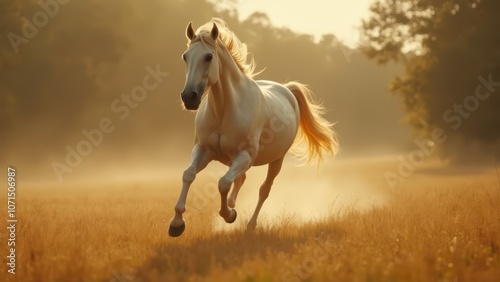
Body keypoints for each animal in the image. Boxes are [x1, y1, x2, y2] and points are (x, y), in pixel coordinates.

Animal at [169, 18, 340, 238]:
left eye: (208, 56)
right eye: (185, 56)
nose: (189, 97)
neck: (224, 110)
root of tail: (287, 89)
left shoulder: (245, 155)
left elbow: (223, 183)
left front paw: (229, 215)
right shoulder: (204, 149)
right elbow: (188, 175)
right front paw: (176, 223)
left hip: (276, 160)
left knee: (263, 189)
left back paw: (249, 225)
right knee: (240, 179)